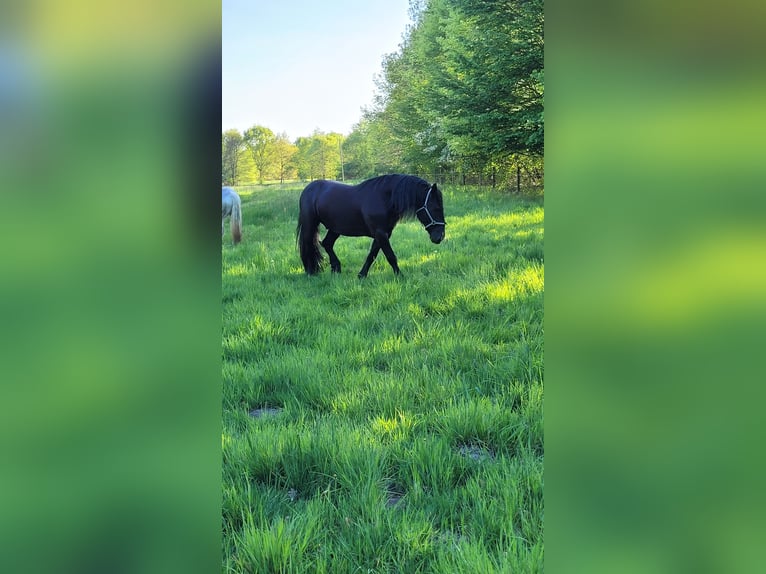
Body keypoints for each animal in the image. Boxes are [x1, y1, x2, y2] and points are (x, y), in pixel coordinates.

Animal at [296, 174, 445, 277]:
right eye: (436, 208)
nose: (440, 237)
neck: (385, 199)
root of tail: (309, 189)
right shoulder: (380, 233)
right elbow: (391, 256)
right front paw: (400, 276)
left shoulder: (383, 234)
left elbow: (372, 254)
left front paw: (362, 275)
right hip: (310, 225)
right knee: (309, 244)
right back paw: (311, 271)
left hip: (335, 228)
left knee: (327, 243)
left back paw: (336, 268)